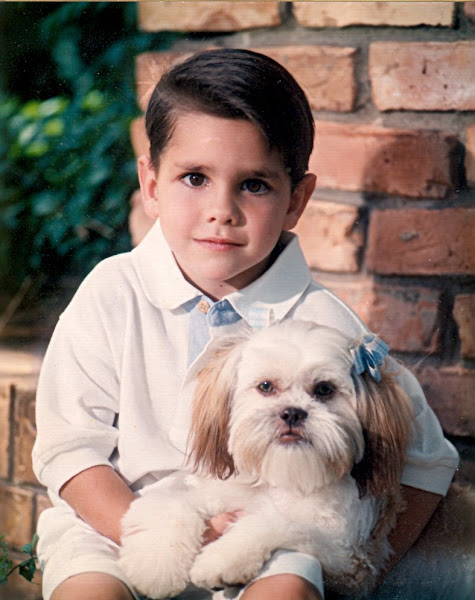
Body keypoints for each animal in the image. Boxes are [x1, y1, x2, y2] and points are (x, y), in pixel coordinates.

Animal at [120, 324, 416, 600]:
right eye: (265, 386)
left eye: (324, 389)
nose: (293, 413)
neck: (283, 477)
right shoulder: (216, 494)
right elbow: (171, 504)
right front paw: (156, 566)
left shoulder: (351, 563)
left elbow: (278, 523)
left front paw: (220, 560)